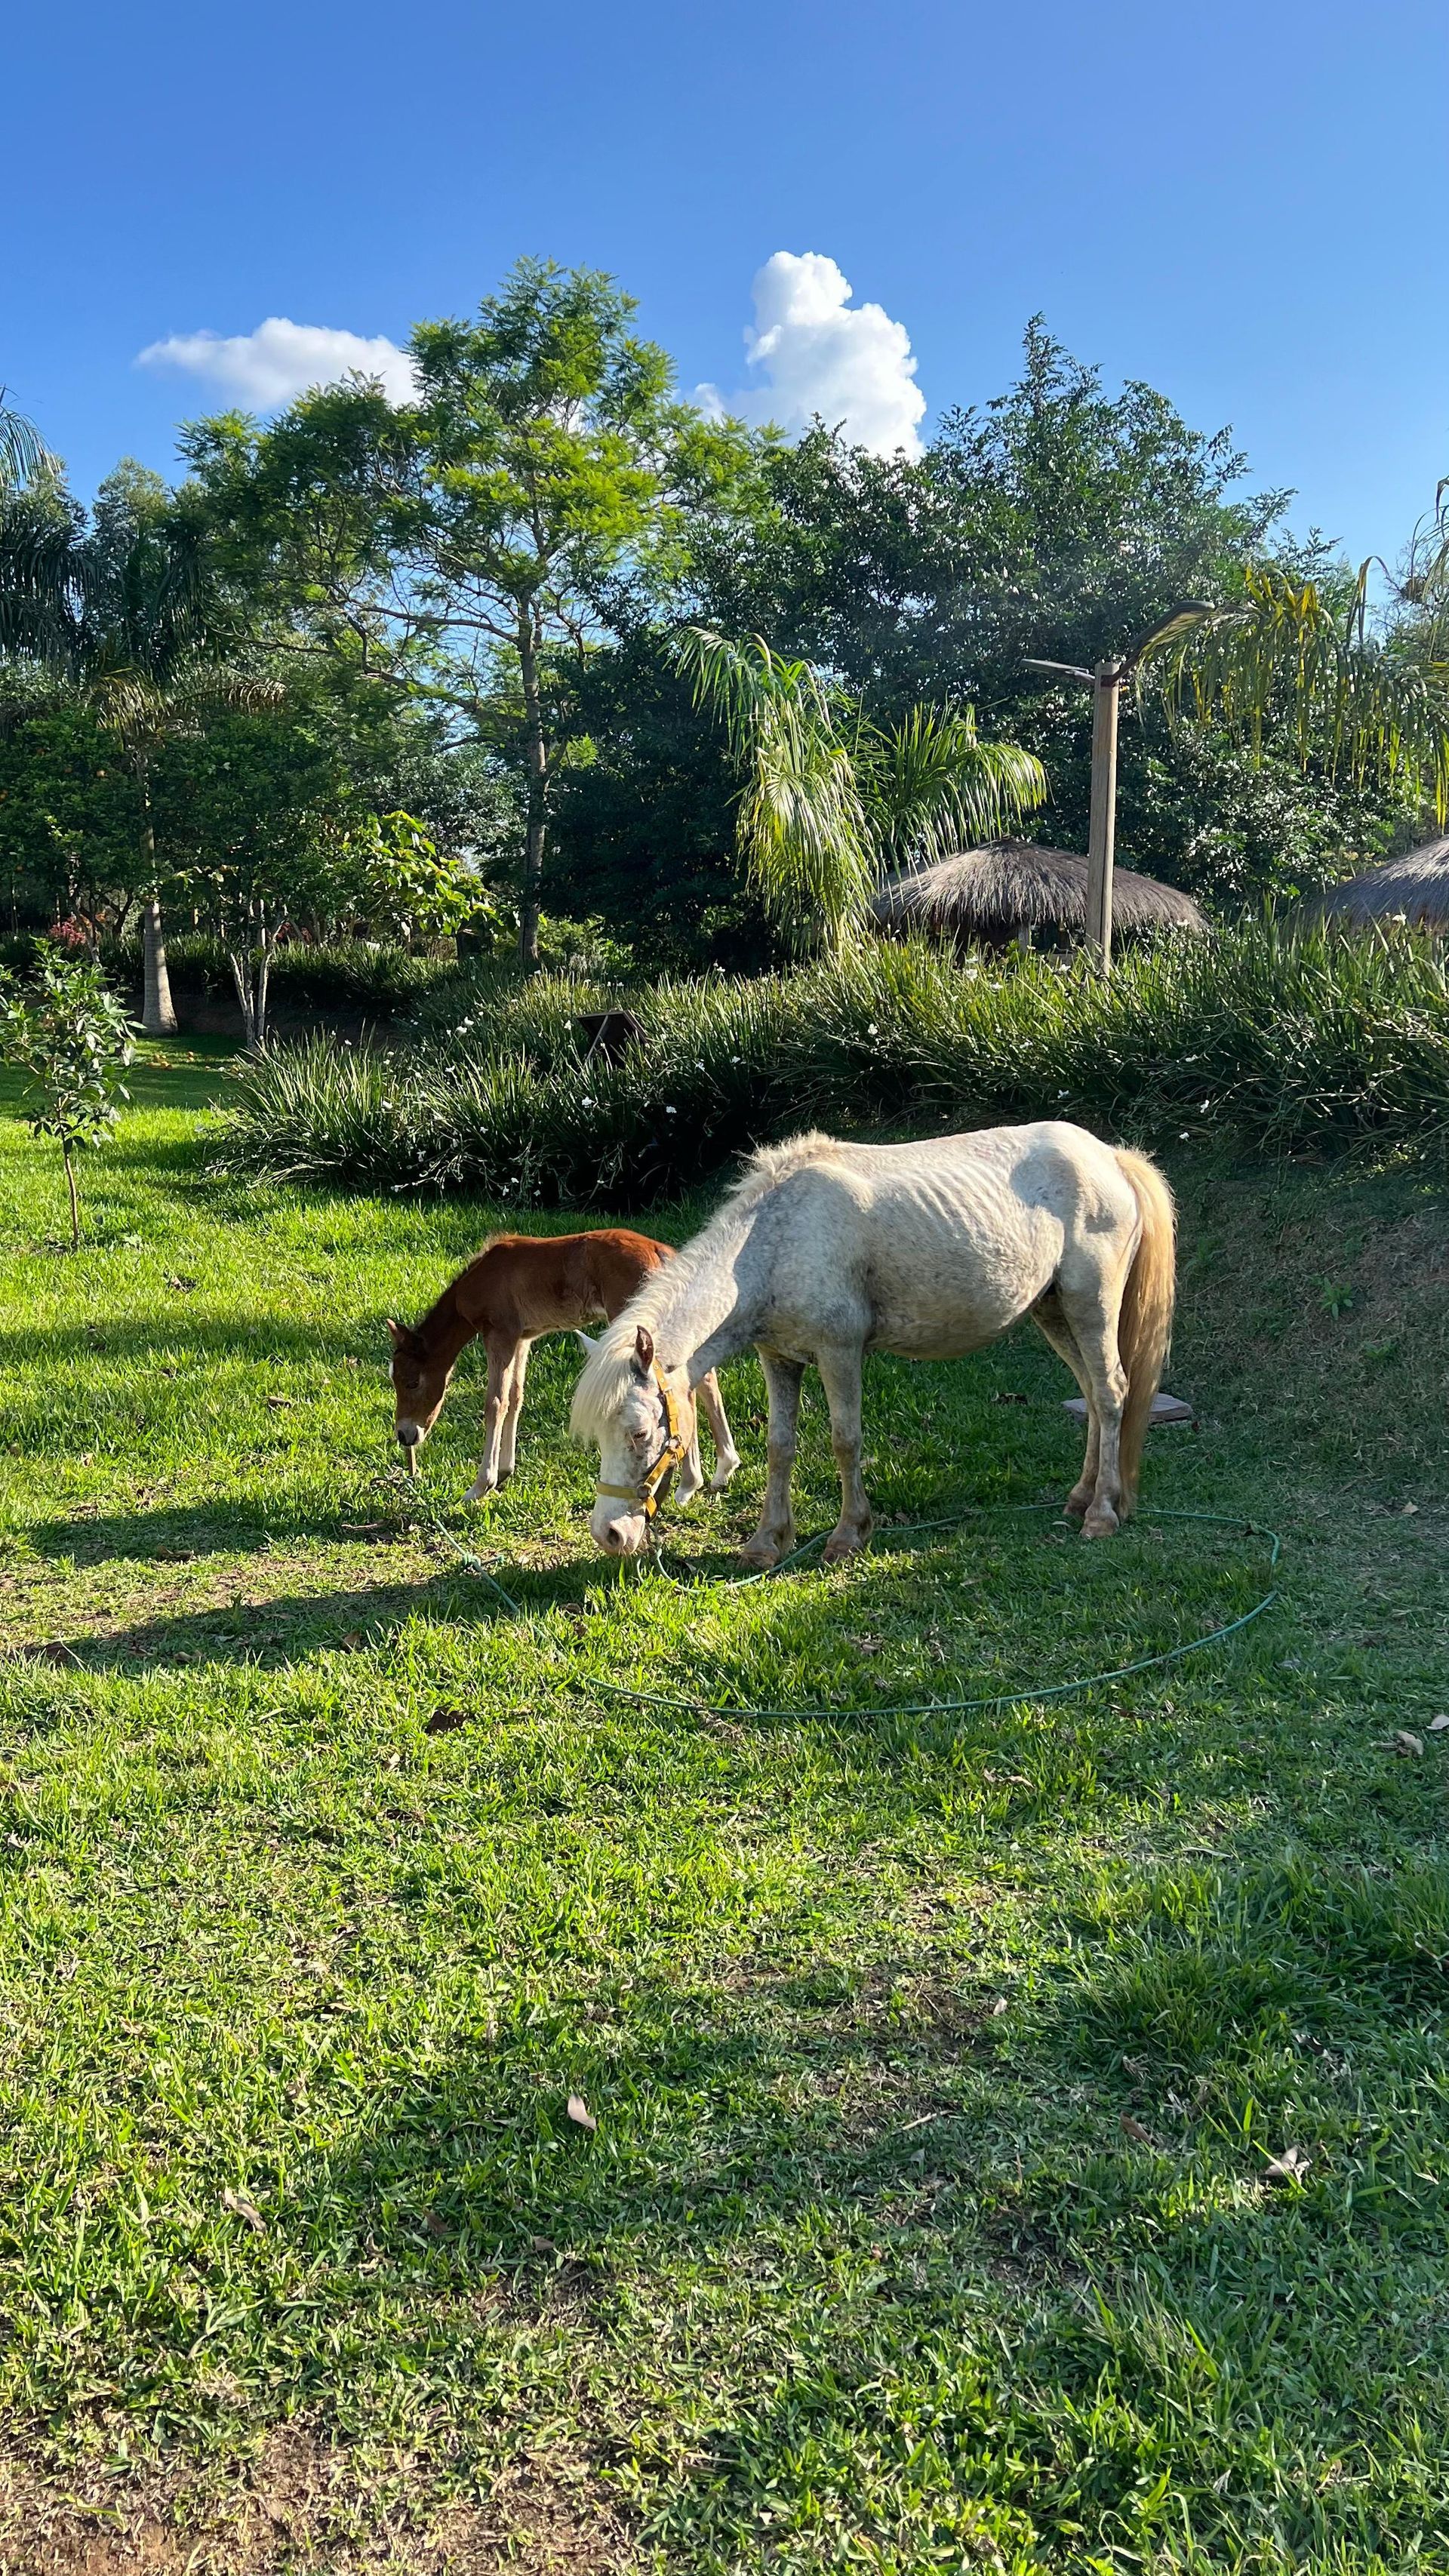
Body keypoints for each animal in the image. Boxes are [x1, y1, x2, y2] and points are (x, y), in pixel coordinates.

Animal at [388, 1229, 741, 1503]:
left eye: (412, 1382)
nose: (405, 1435)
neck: (479, 1279)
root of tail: (663, 1252)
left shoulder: (499, 1333)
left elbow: (495, 1402)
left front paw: (480, 1485)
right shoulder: (523, 1337)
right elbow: (515, 1397)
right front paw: (505, 1470)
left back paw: (690, 1482)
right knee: (704, 1376)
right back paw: (722, 1469)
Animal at [570, 1124, 1175, 1564]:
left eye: (641, 1432)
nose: (609, 1535)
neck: (771, 1244)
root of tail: (1110, 1156)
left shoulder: (839, 1354)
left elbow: (845, 1441)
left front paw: (849, 1534)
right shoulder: (779, 1358)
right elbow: (780, 1447)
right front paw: (767, 1543)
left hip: (1090, 1306)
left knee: (1112, 1393)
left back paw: (1101, 1513)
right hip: (1054, 1311)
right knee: (1092, 1395)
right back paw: (1081, 1496)